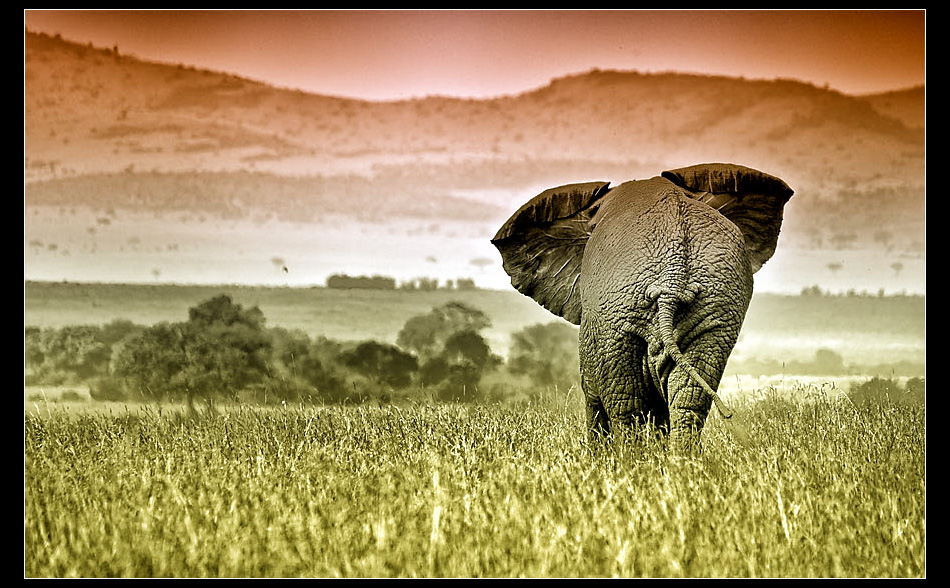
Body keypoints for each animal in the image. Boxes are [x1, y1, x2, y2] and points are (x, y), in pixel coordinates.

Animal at [491, 163, 793, 452]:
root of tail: (673, 273)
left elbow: (593, 394)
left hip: (617, 314)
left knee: (626, 405)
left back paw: (631, 462)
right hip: (715, 305)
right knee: (688, 399)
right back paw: (681, 462)